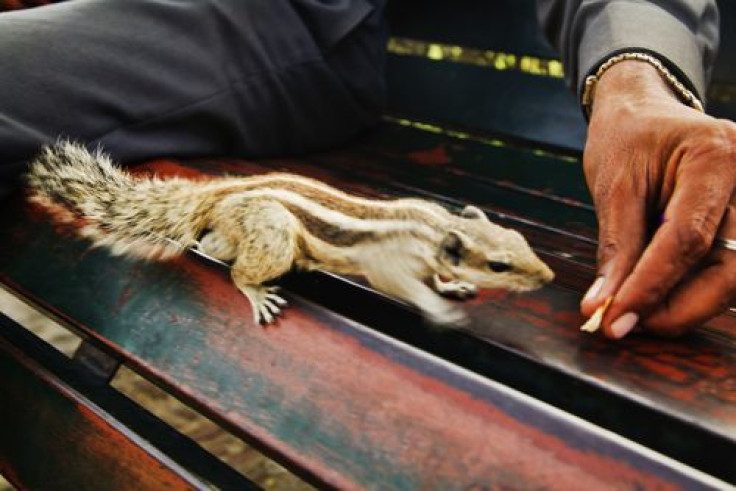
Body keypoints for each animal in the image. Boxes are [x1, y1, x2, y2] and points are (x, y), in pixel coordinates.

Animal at [25, 142, 556, 326]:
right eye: (499, 264)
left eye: (521, 241)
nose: (548, 278)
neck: (435, 228)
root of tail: (217, 195)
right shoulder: (388, 264)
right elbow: (399, 286)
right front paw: (440, 309)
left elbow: (436, 277)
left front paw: (453, 285)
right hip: (273, 235)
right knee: (230, 262)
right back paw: (255, 291)